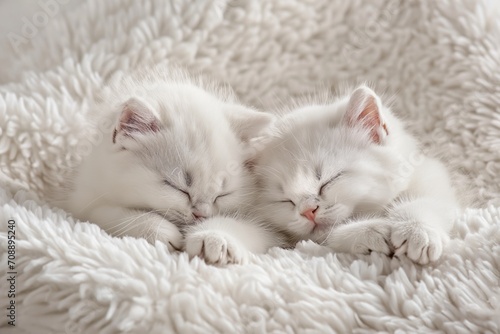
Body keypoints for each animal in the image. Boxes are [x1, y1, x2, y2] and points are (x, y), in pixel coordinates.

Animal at [61, 66, 278, 252]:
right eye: (177, 187)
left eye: (223, 194)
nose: (201, 214)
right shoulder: (83, 201)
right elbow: (104, 212)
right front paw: (156, 228)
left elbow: (249, 227)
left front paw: (214, 237)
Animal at [252, 85, 458, 264]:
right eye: (285, 200)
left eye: (329, 180)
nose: (308, 211)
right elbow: (324, 238)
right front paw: (369, 232)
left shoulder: (430, 174)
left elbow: (429, 200)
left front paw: (416, 229)